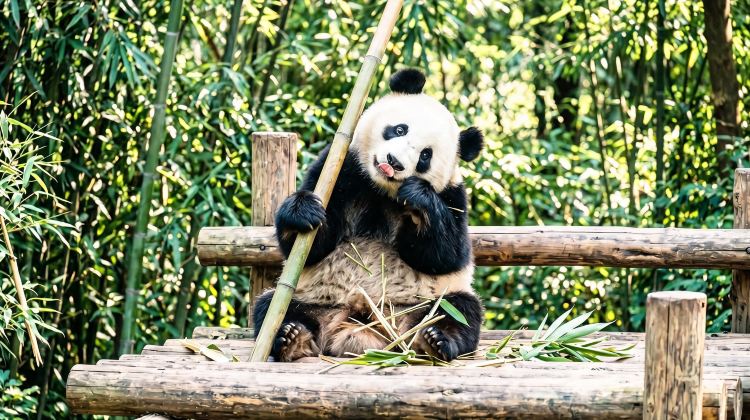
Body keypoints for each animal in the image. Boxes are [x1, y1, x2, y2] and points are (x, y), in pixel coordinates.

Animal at [253, 69, 485, 362]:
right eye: (400, 129)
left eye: (425, 156)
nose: (394, 162)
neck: (381, 189)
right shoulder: (341, 169)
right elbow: (311, 247)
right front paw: (303, 212)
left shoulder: (453, 195)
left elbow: (445, 255)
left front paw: (418, 199)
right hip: (310, 299)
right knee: (270, 306)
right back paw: (293, 338)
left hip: (419, 305)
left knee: (458, 310)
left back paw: (433, 341)